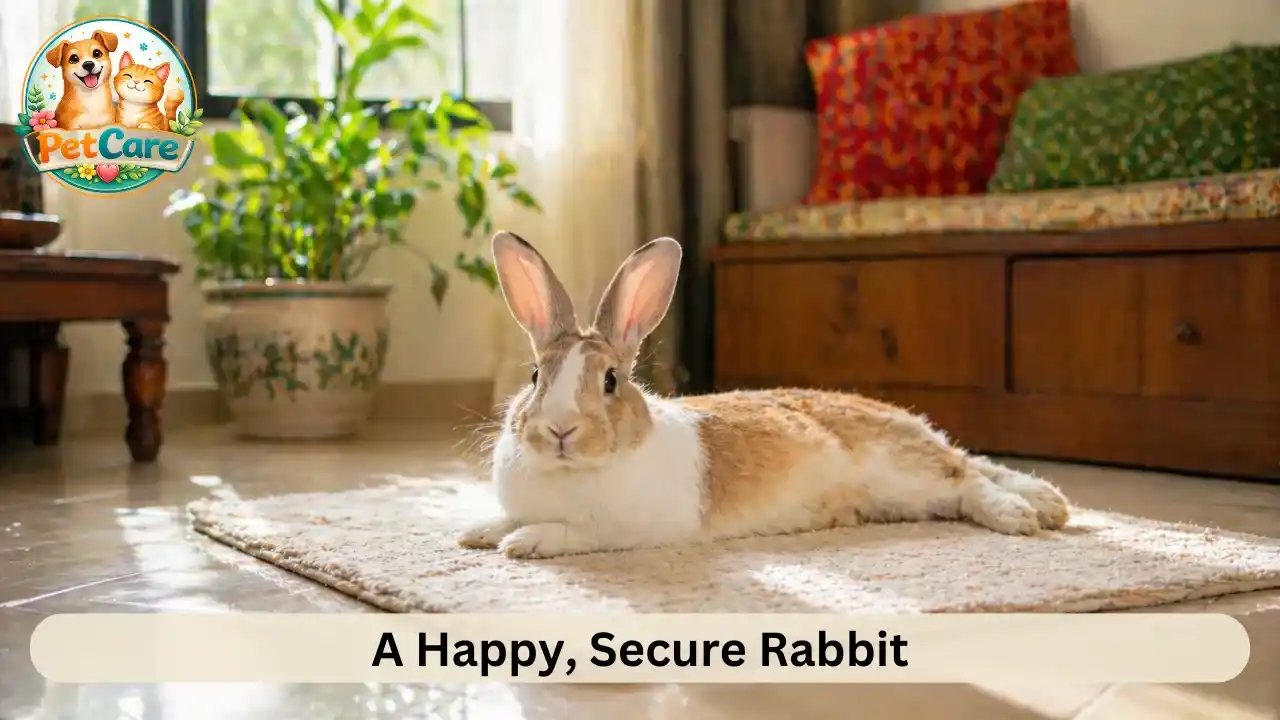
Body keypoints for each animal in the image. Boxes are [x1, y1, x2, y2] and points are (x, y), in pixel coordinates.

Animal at [458, 231, 1071, 559]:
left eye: (610, 380)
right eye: (535, 376)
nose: (559, 430)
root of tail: (913, 426)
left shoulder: (628, 529)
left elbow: (571, 532)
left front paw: (524, 542)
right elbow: (505, 517)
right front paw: (477, 533)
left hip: (904, 472)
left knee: (967, 481)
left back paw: (1021, 515)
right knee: (972, 469)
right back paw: (1047, 504)